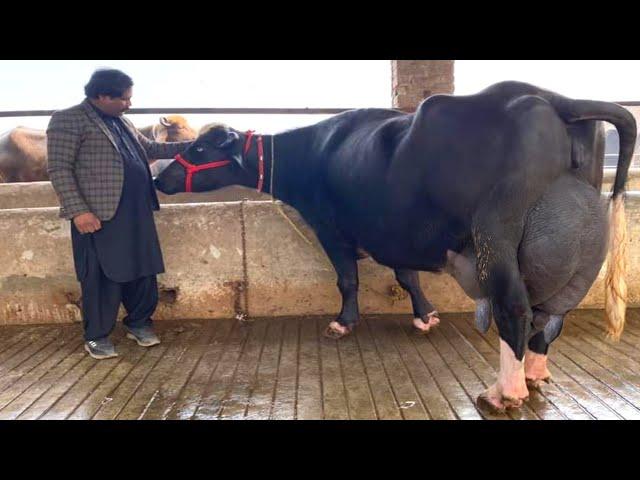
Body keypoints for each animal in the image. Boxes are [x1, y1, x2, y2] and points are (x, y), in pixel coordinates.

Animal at [154, 80, 636, 410]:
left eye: (198, 149)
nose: (160, 177)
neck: (312, 154)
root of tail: (553, 98)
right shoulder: (390, 231)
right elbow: (406, 276)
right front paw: (426, 316)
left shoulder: (331, 229)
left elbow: (347, 280)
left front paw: (342, 323)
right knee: (553, 309)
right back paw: (535, 372)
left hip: (495, 231)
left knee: (515, 306)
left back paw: (505, 391)